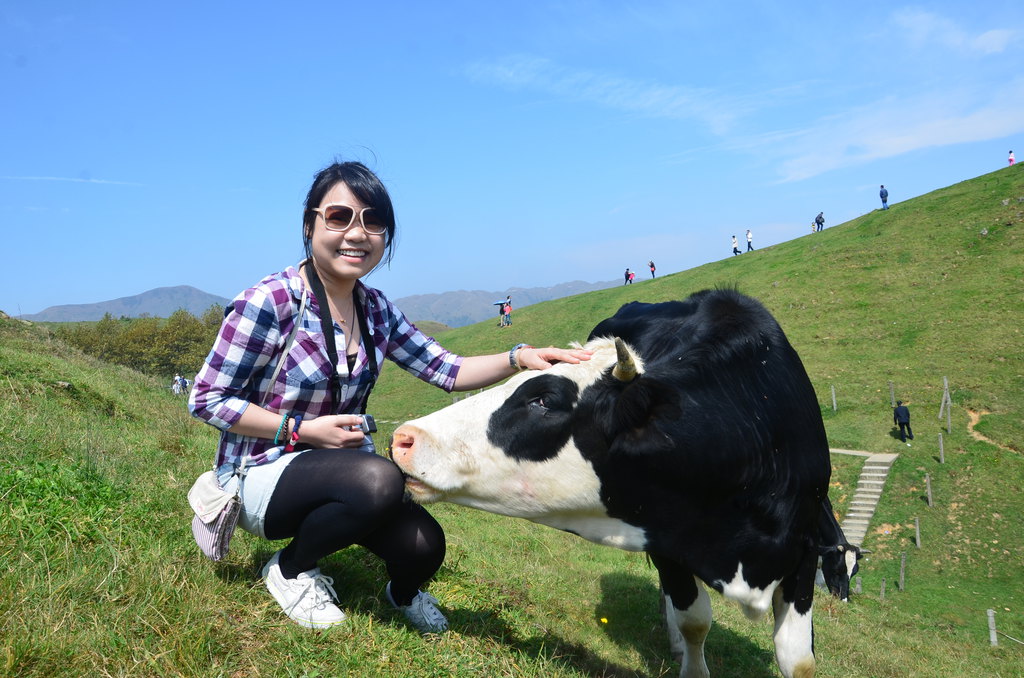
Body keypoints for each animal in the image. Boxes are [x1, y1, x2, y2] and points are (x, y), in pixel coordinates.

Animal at [389, 288, 831, 675]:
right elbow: (694, 622)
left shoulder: (806, 547)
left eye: (544, 400)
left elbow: (798, 659)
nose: (404, 438)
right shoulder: (665, 537)